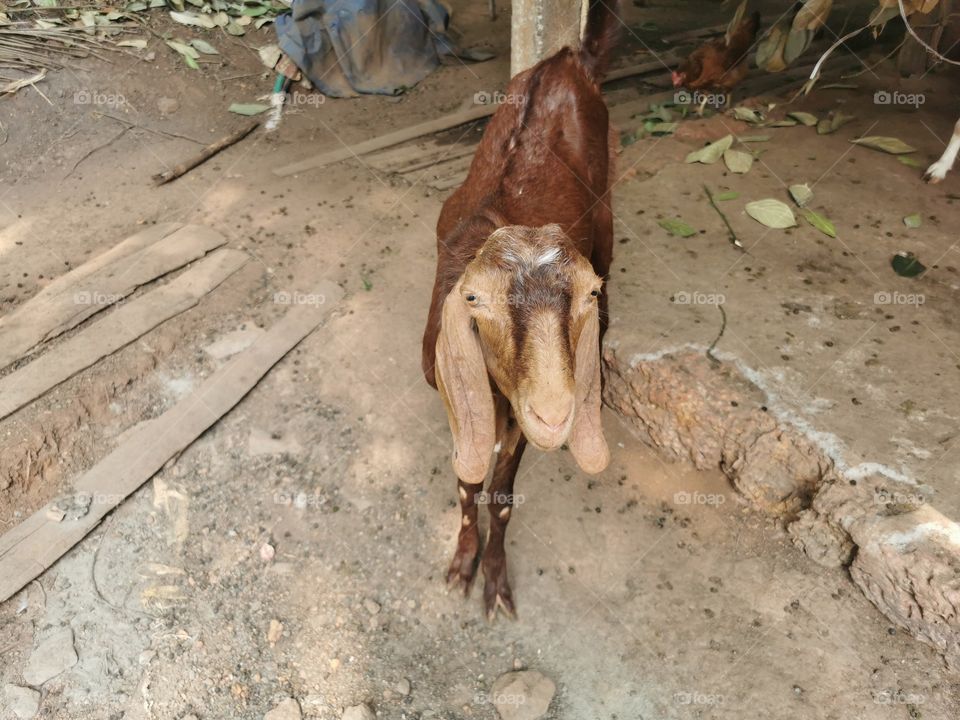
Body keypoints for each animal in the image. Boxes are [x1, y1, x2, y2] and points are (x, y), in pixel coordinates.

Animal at [421, 0, 619, 620]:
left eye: (588, 294)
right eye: (475, 301)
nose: (556, 414)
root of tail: (566, 58)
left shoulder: (519, 425)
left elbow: (502, 496)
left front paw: (494, 580)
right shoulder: (456, 393)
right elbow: (468, 481)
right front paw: (461, 565)